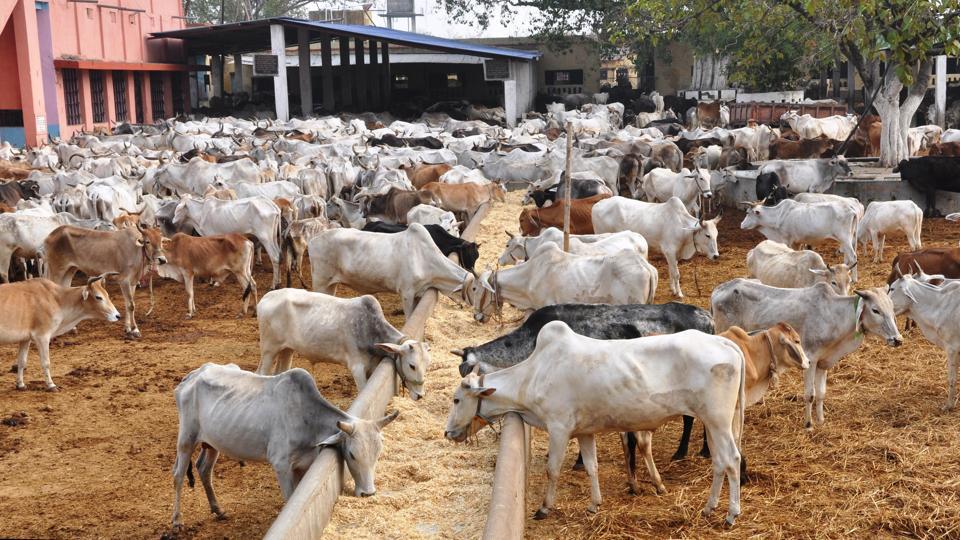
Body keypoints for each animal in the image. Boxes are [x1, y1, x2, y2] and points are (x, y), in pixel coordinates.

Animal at [170, 363, 399, 534]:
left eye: (378, 453)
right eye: (351, 454)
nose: (368, 493)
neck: (308, 419)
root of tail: (193, 375)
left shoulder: (303, 465)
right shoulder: (281, 465)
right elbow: (290, 500)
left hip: (213, 443)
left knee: (203, 469)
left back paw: (218, 510)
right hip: (186, 438)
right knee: (178, 475)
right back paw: (177, 521)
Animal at [255, 290, 430, 398]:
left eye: (427, 365)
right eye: (412, 366)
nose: (420, 395)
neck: (369, 328)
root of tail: (266, 297)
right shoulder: (357, 367)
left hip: (287, 349)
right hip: (269, 350)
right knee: (262, 373)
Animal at [445, 322, 746, 525]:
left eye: (457, 399)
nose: (448, 432)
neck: (534, 374)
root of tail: (724, 343)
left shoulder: (559, 428)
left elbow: (552, 470)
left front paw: (544, 508)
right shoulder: (584, 432)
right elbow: (592, 467)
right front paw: (594, 504)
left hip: (718, 420)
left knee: (732, 459)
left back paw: (731, 514)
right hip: (715, 422)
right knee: (719, 461)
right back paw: (709, 507)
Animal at [592, 196, 720, 297]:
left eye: (716, 235)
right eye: (707, 235)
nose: (716, 256)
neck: (681, 227)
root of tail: (598, 204)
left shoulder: (673, 255)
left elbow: (671, 271)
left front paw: (673, 290)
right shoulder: (669, 251)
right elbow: (676, 274)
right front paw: (679, 293)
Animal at [711, 279, 902, 429]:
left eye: (892, 308)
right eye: (875, 310)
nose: (897, 339)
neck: (834, 315)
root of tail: (718, 290)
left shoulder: (824, 363)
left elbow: (821, 393)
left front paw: (821, 420)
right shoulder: (810, 359)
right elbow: (810, 395)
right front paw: (808, 424)